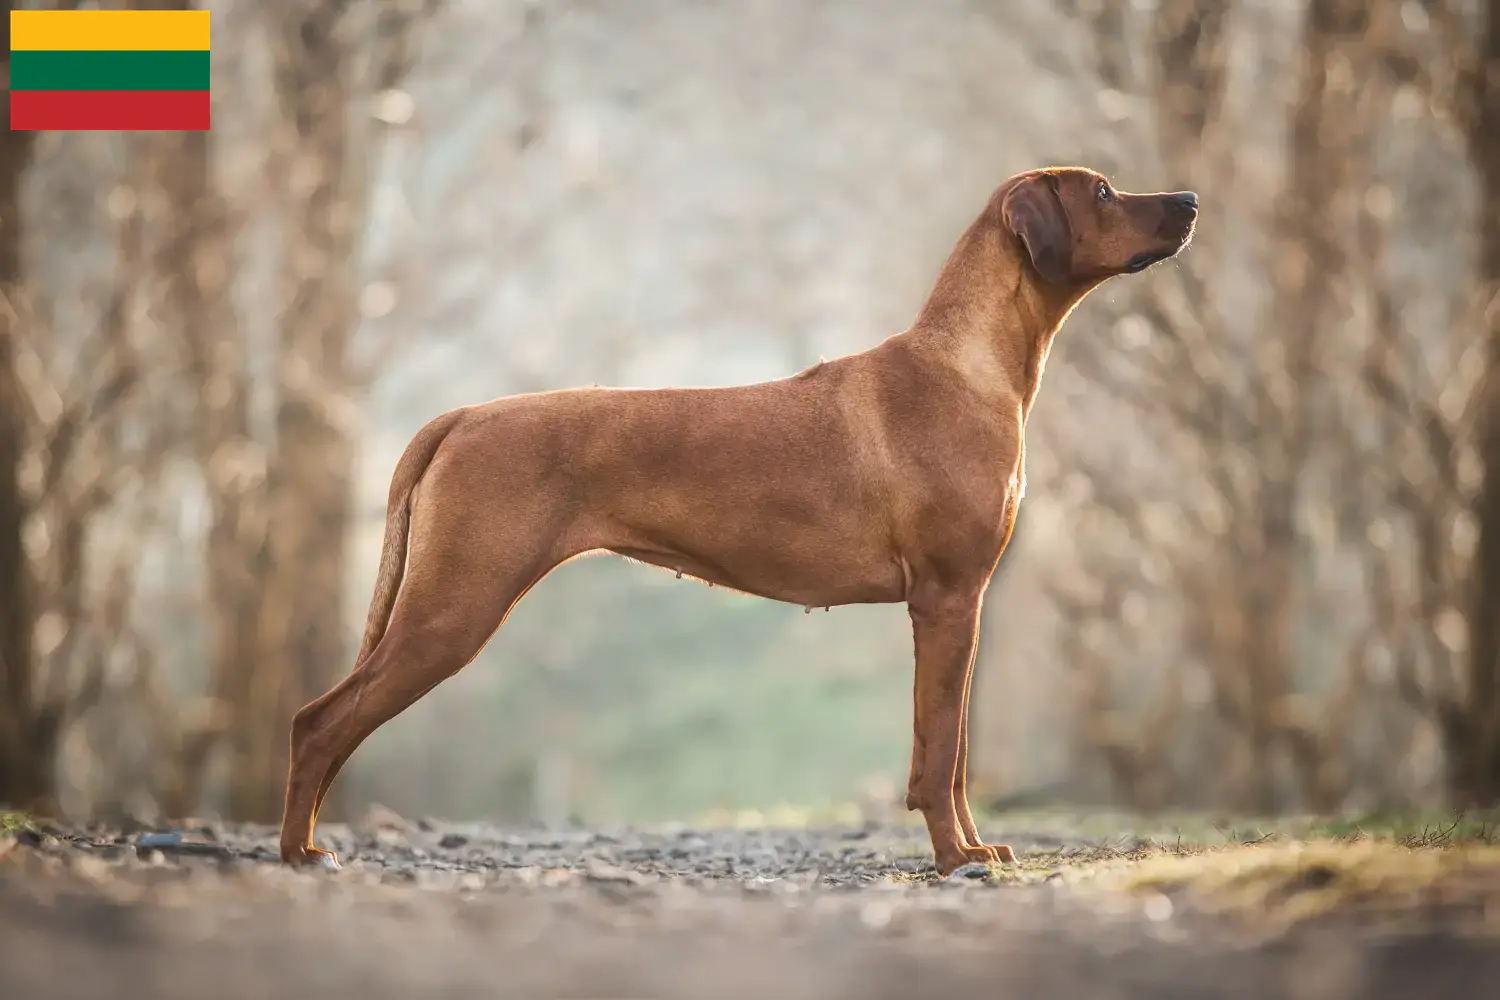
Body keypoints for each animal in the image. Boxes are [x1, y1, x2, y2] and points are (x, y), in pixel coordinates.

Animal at [279, 166, 1194, 875]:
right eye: (1104, 191)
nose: (1188, 199)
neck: (966, 363)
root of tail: (461, 415)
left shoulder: (960, 606)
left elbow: (955, 753)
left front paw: (974, 849)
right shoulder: (946, 599)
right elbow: (939, 757)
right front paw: (952, 860)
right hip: (454, 606)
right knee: (318, 721)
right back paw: (297, 852)